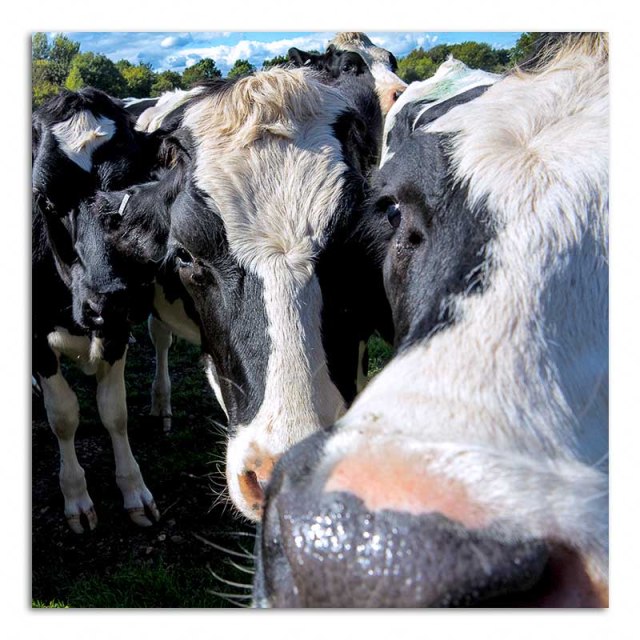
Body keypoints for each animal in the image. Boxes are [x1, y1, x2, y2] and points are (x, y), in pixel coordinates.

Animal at [32, 87, 164, 532]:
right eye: (43, 197)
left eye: (135, 187)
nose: (110, 296)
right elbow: (63, 415)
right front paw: (75, 496)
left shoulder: (116, 328)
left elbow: (114, 411)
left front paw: (134, 490)